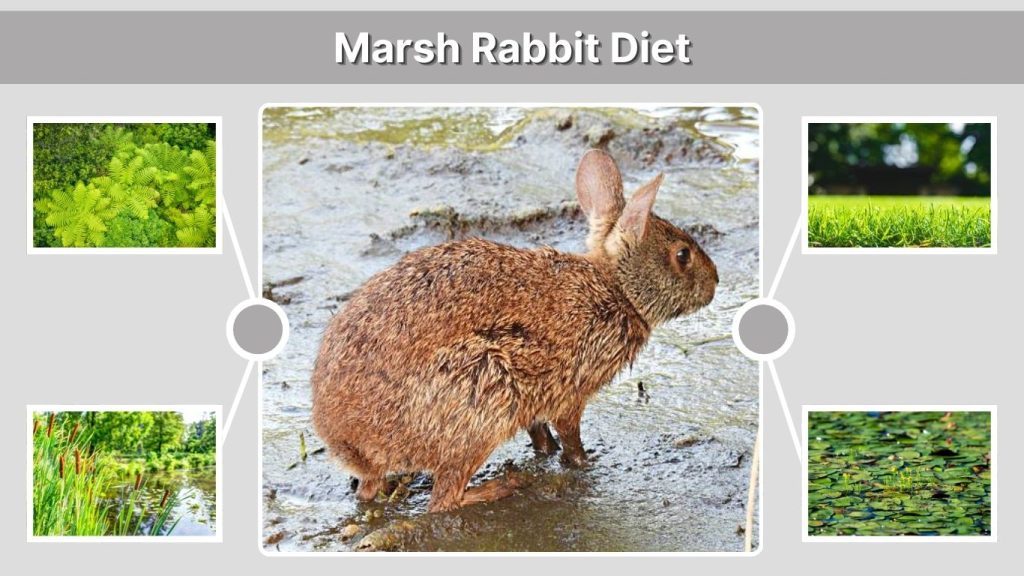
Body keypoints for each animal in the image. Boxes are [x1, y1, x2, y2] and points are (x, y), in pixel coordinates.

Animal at [311, 149, 718, 513]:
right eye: (682, 255)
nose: (715, 282)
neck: (617, 289)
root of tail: (356, 450)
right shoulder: (572, 389)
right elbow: (569, 433)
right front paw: (585, 463)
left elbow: (540, 433)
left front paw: (548, 453)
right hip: (482, 391)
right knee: (444, 500)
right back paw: (506, 486)